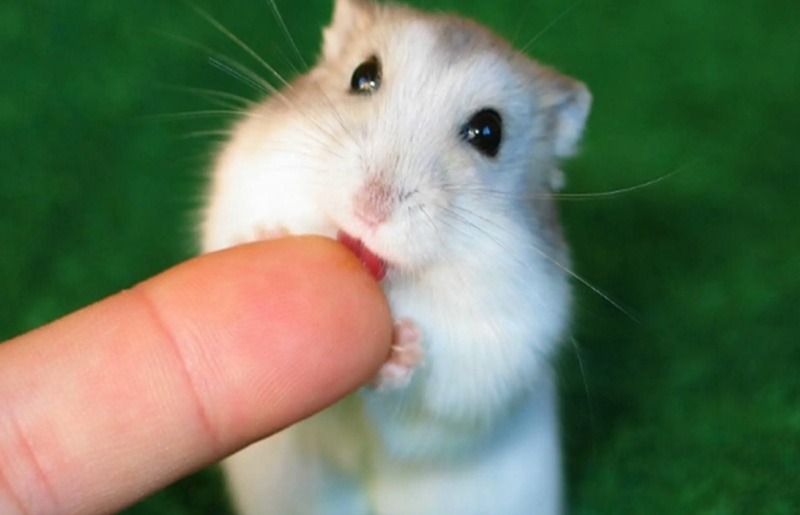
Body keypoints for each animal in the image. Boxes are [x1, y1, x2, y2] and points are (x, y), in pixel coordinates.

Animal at [201, 1, 591, 514]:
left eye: (489, 132)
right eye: (363, 75)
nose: (371, 207)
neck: (393, 282)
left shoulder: (495, 359)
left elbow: (422, 402)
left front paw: (403, 347)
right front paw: (264, 235)